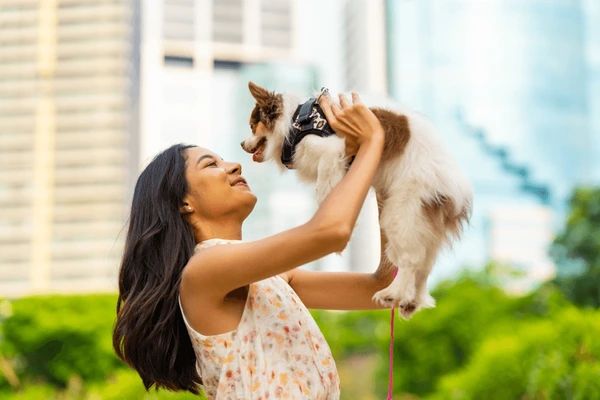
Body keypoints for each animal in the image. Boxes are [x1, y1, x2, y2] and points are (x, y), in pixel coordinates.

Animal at [240, 82, 474, 318]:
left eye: (252, 126)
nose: (241, 144)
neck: (295, 122)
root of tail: (456, 190)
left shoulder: (331, 150)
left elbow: (324, 187)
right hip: (421, 217)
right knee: (424, 267)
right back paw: (411, 301)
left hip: (403, 210)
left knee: (411, 260)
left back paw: (393, 293)